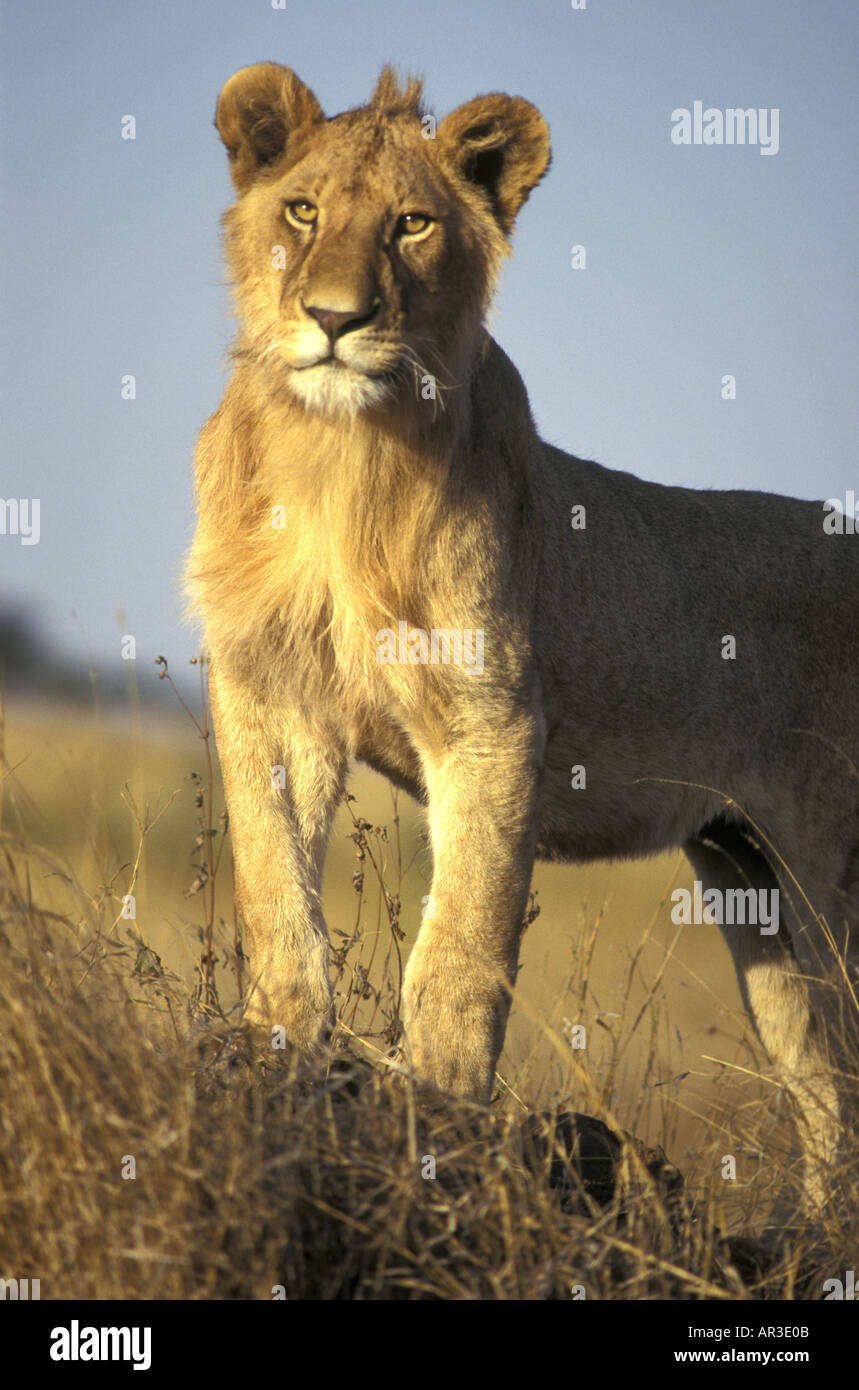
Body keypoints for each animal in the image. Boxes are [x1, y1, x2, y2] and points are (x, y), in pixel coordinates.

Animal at [187, 62, 856, 1206]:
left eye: (410, 224)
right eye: (303, 210)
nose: (334, 318)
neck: (341, 457)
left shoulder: (493, 721)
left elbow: (462, 938)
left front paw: (437, 1115)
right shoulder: (274, 695)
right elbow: (276, 890)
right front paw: (278, 1045)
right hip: (757, 891)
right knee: (819, 1081)